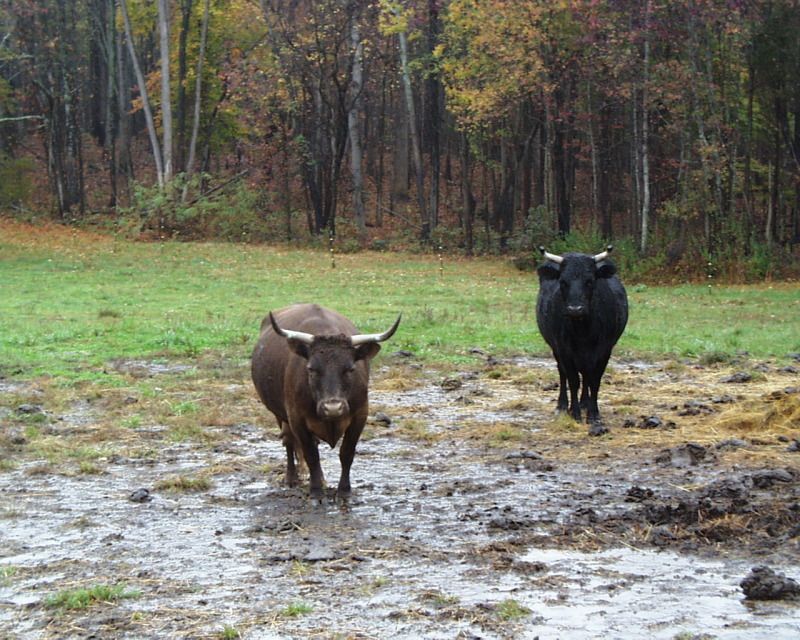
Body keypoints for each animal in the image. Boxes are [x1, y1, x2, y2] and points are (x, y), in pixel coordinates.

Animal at [251, 303, 401, 497]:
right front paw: (316, 492)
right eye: (311, 369)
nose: (333, 408)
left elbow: (346, 453)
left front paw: (344, 490)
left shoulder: (360, 415)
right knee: (289, 441)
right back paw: (292, 478)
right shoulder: (296, 418)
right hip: (280, 415)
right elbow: (311, 455)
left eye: (350, 369)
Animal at [536, 245, 628, 435]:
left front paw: (593, 415)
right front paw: (576, 414)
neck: (582, 331)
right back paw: (563, 406)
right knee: (563, 374)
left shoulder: (604, 351)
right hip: (556, 349)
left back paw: (585, 403)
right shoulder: (564, 351)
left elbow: (594, 381)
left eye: (590, 281)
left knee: (586, 375)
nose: (575, 309)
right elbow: (573, 381)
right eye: (563, 282)